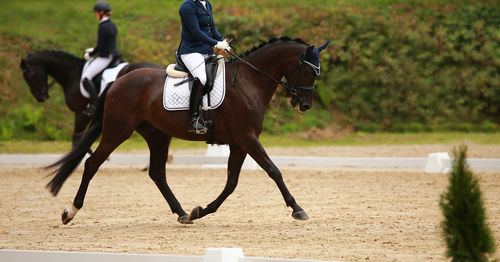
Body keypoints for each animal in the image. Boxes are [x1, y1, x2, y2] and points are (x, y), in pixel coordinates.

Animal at [46, 36, 328, 225]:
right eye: (307, 70)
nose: (304, 105)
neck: (249, 81)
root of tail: (118, 81)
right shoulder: (247, 138)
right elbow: (273, 170)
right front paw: (297, 209)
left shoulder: (239, 143)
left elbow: (231, 183)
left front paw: (200, 210)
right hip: (117, 131)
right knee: (92, 163)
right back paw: (70, 212)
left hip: (157, 135)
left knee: (157, 173)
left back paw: (182, 214)